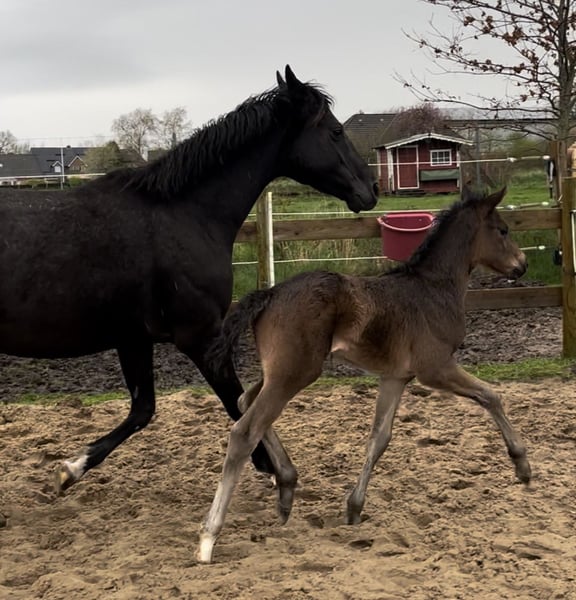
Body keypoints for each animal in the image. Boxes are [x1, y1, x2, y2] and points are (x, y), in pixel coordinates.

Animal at [0, 65, 378, 493]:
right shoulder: (201, 337)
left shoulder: (134, 338)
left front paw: (70, 468)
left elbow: (143, 410)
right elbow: (239, 405)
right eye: (335, 131)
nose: (372, 189)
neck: (185, 214)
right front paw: (273, 468)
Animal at [198, 186, 532, 563]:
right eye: (503, 230)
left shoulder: (395, 377)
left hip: (281, 372)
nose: (522, 265)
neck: (433, 288)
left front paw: (354, 508)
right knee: (245, 430)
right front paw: (522, 466)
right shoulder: (435, 368)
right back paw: (209, 538)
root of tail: (269, 293)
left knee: (245, 400)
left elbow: (379, 437)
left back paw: (286, 487)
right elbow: (491, 395)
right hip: (295, 373)